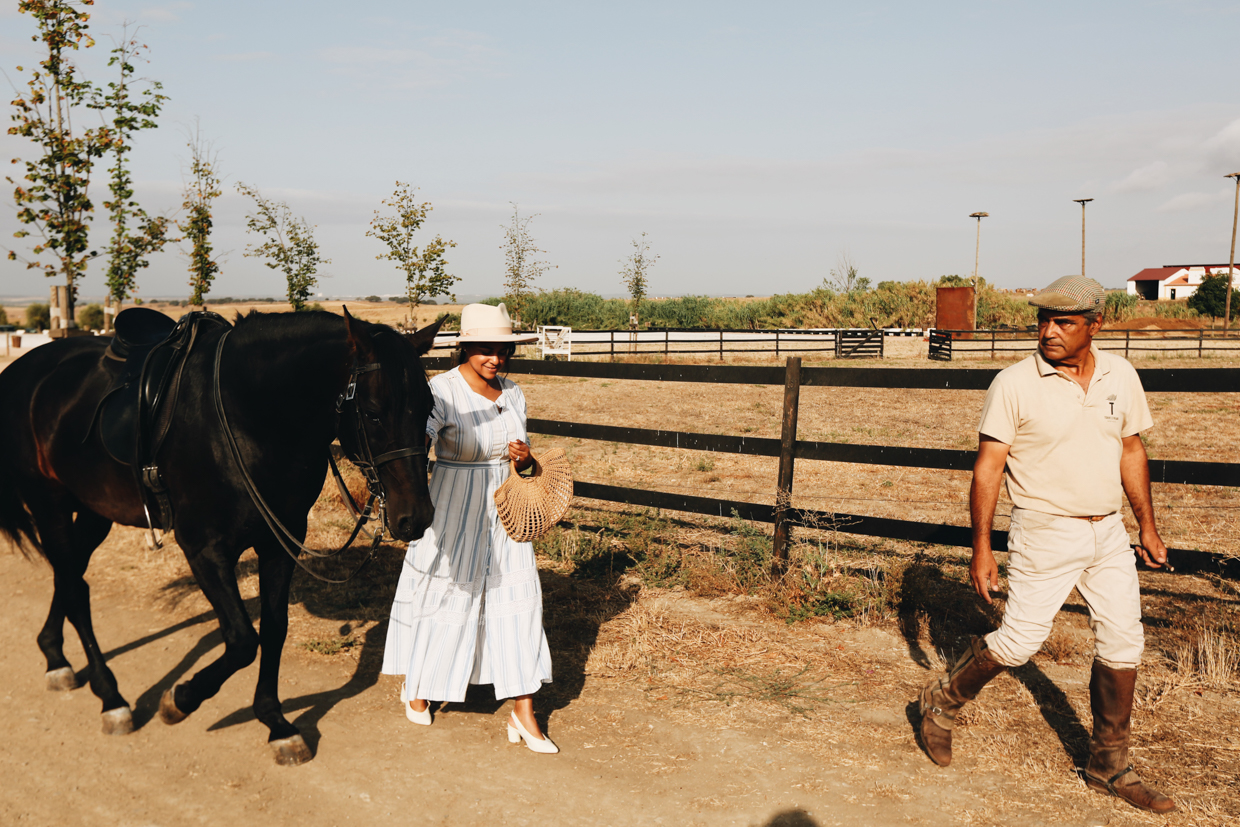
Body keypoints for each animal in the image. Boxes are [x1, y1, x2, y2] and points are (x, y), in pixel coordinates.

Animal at [0, 308, 441, 763]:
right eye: (372, 413)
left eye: (428, 408)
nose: (416, 517)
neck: (248, 417)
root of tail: (21, 371)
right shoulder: (204, 549)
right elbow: (243, 640)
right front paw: (180, 700)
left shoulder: (279, 543)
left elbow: (274, 630)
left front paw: (276, 722)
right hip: (49, 505)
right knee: (73, 588)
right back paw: (112, 699)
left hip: (92, 512)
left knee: (69, 577)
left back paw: (55, 658)